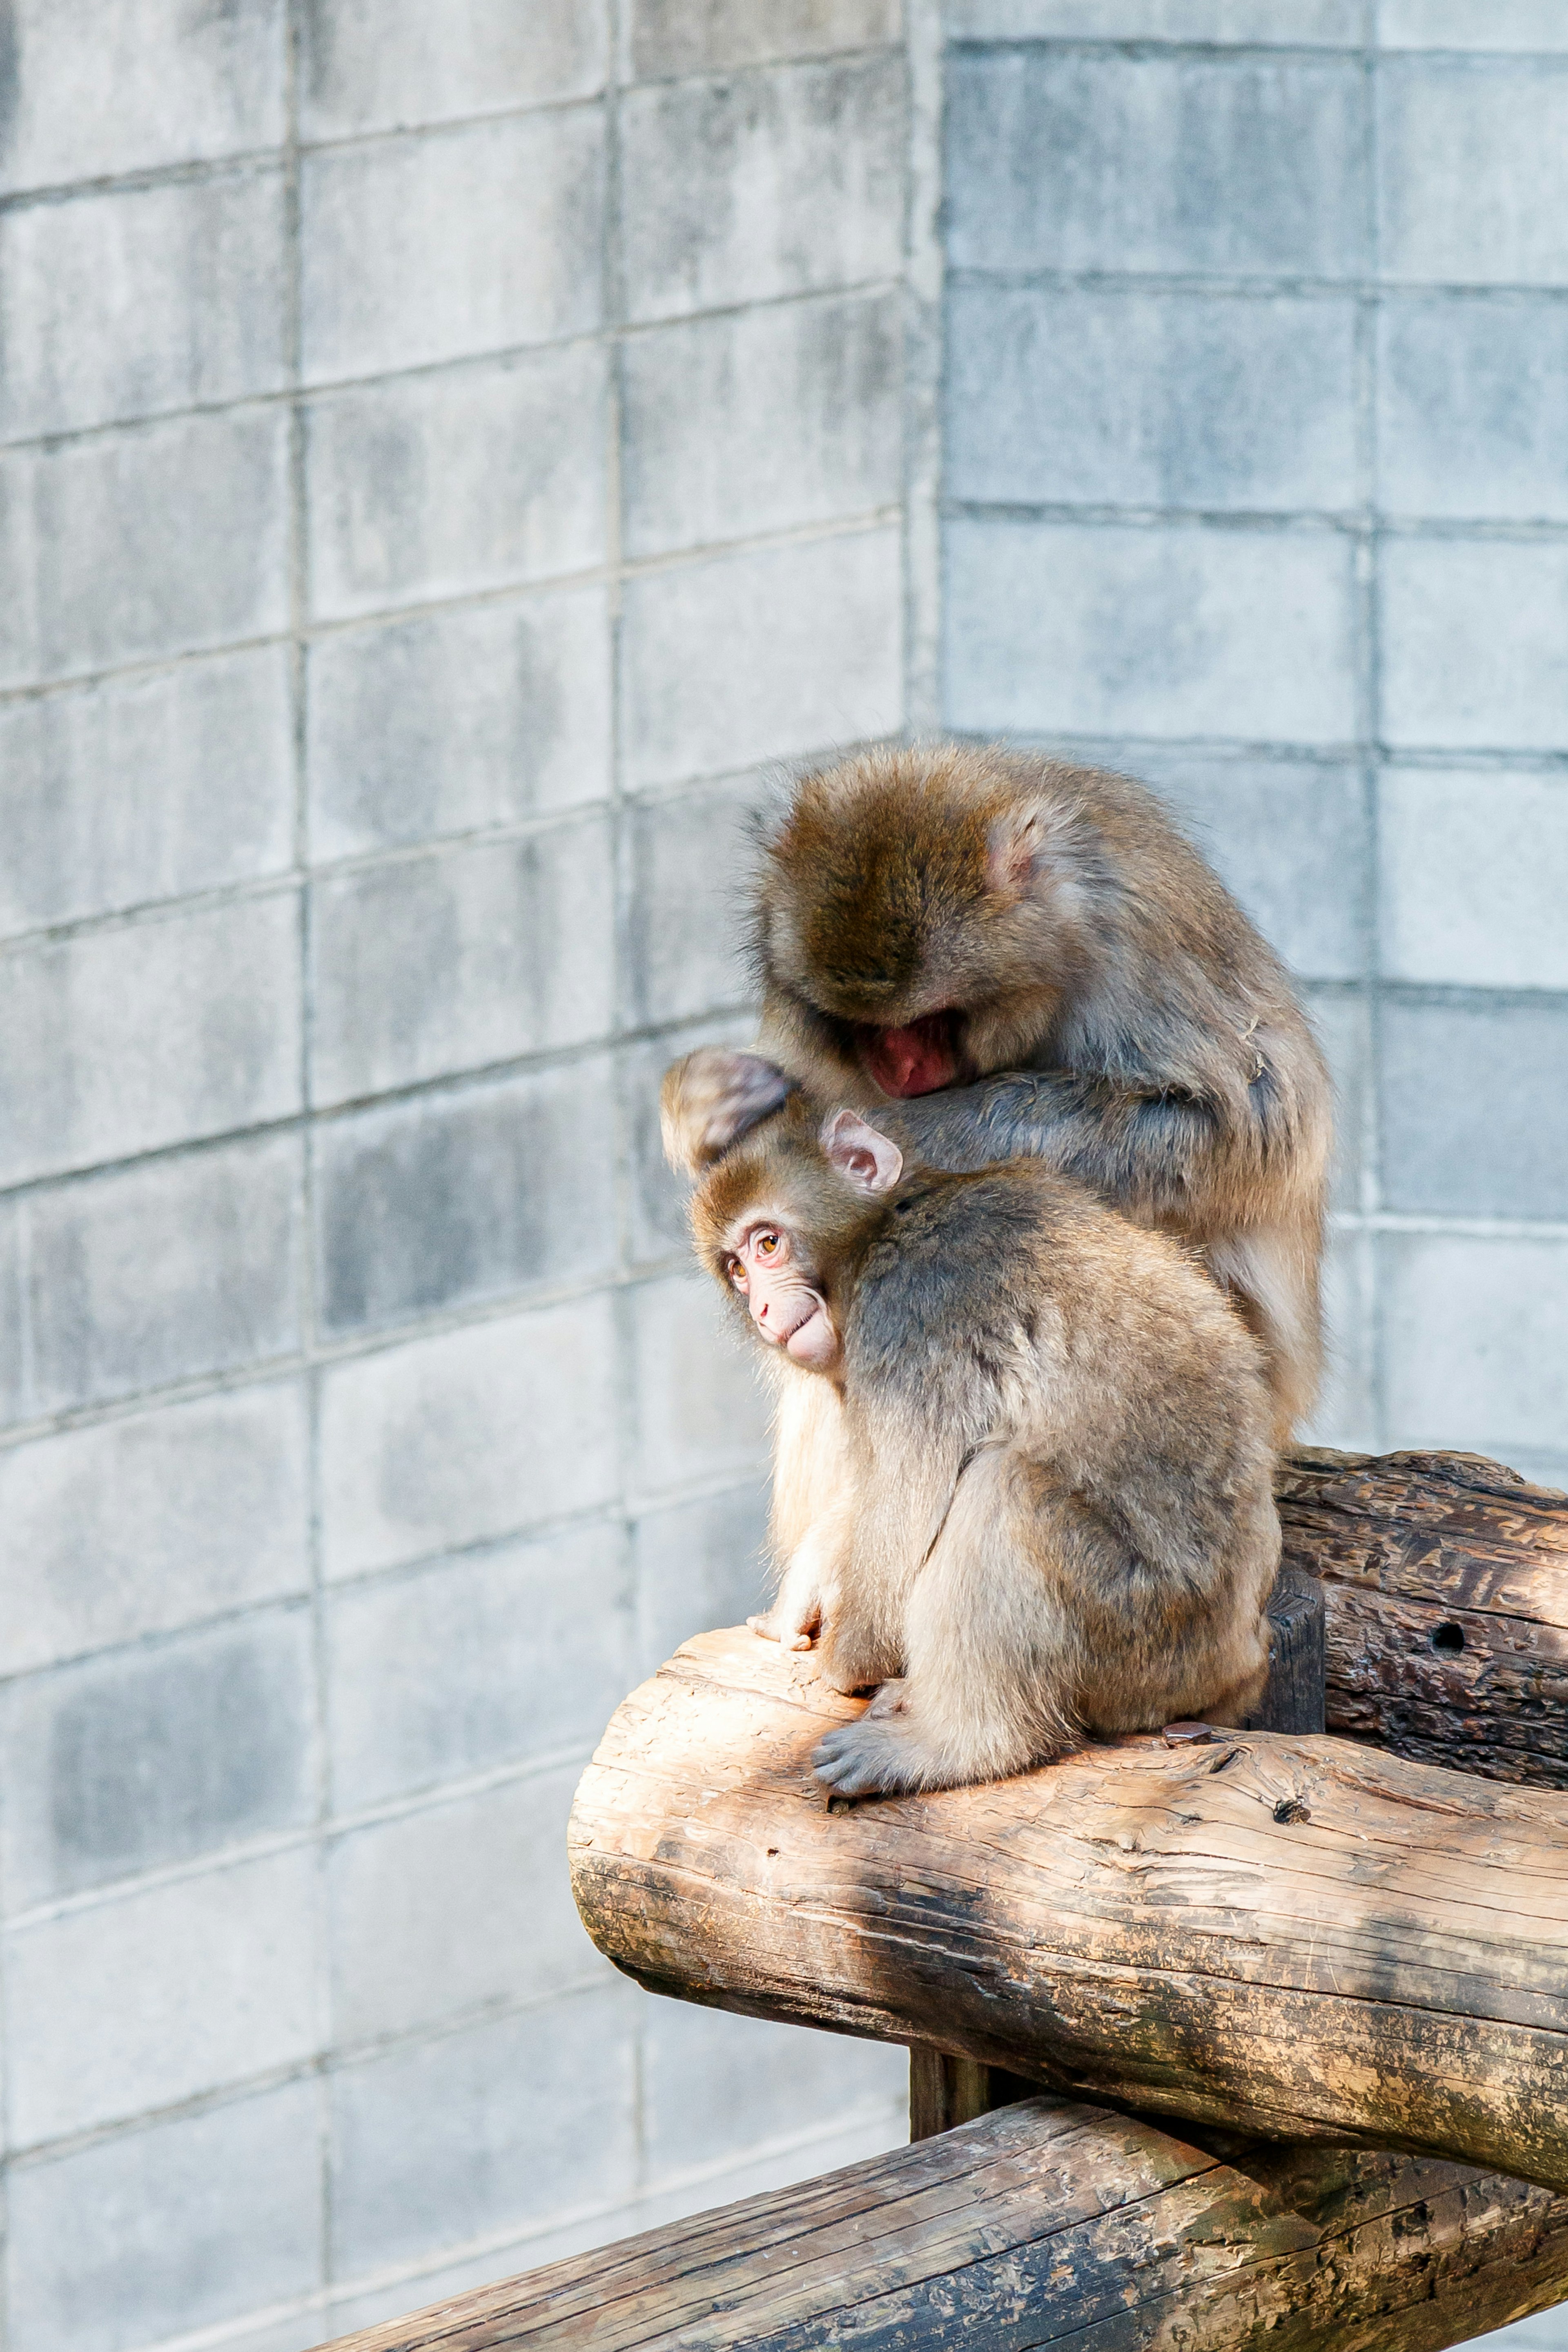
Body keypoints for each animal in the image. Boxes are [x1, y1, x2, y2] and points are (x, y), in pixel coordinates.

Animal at [663, 734, 1335, 1439]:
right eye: (860, 1028)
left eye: (931, 1019)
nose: (900, 1074)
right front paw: (708, 1101)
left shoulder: (1140, 931)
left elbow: (1250, 1124)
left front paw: (905, 1131)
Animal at [691, 1082, 1278, 1797]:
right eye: (736, 1269)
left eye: (769, 1244)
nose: (762, 1310)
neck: (887, 1225)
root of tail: (1244, 1664)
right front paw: (801, 1590)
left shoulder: (912, 1310)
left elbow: (904, 1505)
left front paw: (846, 1661)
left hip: (1145, 1635)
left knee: (1002, 1487)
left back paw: (959, 1746)